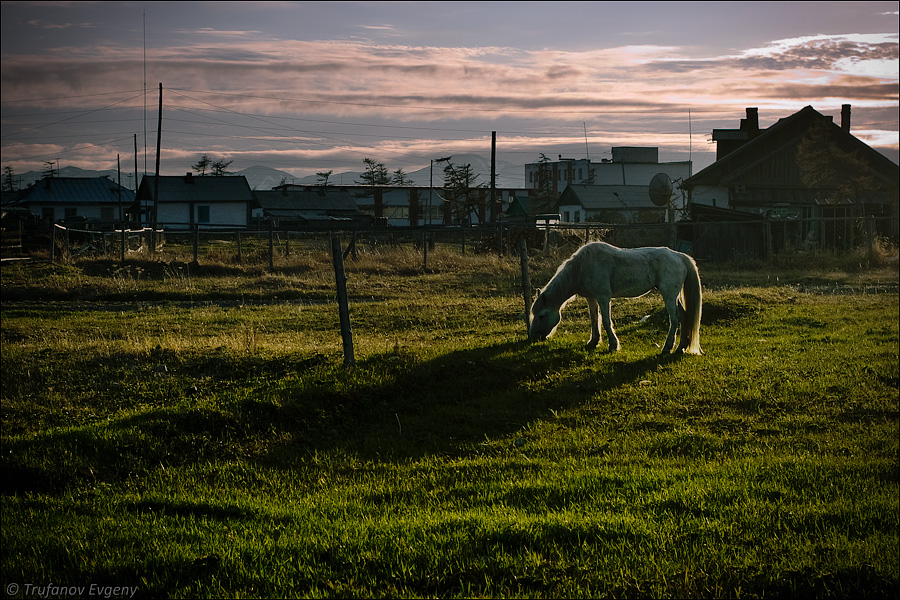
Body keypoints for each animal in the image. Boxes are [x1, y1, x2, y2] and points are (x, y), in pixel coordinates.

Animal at [528, 241, 704, 354]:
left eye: (541, 315)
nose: (533, 337)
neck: (581, 267)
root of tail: (679, 256)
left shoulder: (603, 297)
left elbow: (606, 321)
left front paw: (613, 345)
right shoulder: (591, 298)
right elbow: (594, 320)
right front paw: (593, 342)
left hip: (669, 296)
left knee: (674, 319)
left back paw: (667, 347)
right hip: (674, 297)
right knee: (684, 316)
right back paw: (681, 347)